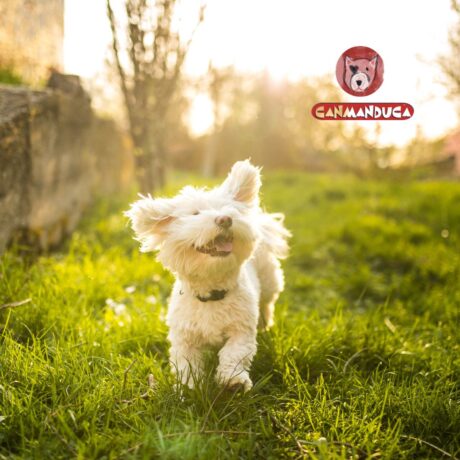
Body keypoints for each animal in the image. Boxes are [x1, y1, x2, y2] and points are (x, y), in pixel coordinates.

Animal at [125, 160, 292, 390]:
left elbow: (234, 353)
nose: (225, 219)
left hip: (269, 282)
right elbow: (187, 364)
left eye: (230, 210)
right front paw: (188, 387)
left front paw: (233, 381)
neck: (212, 292)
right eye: (195, 214)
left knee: (267, 303)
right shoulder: (184, 339)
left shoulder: (241, 330)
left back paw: (265, 324)